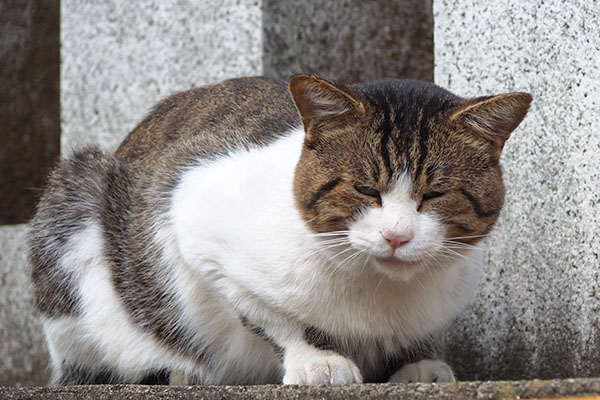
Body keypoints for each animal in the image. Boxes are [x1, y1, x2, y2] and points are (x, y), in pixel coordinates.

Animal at [28, 74, 528, 384]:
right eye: (366, 189)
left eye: (436, 194)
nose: (397, 236)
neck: (380, 293)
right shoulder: (191, 215)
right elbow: (273, 317)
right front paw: (317, 360)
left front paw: (418, 361)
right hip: (79, 194)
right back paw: (174, 372)